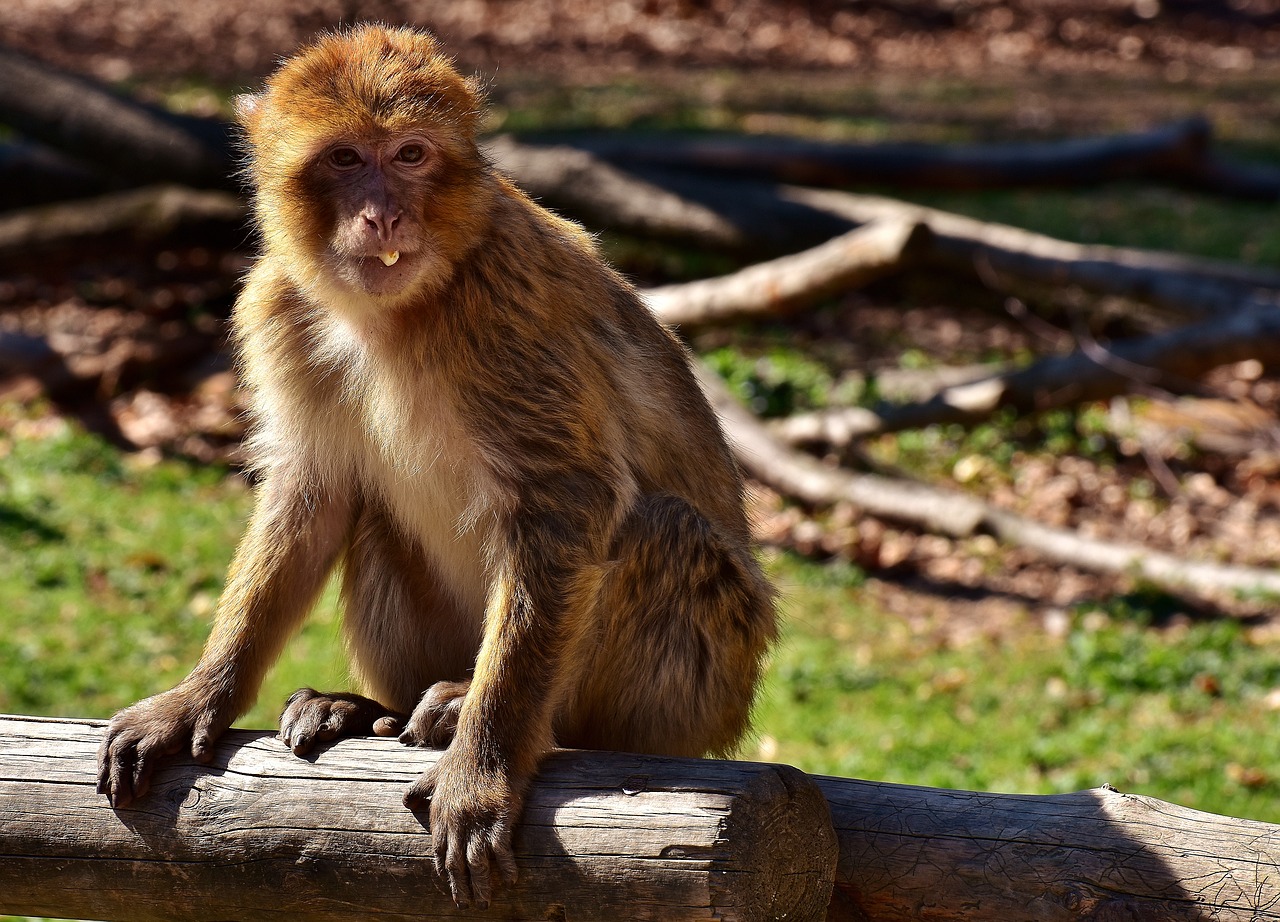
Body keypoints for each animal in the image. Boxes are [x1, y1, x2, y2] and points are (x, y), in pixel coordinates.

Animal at [97, 25, 768, 911]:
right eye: (346, 158)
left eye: (411, 154)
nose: (384, 212)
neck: (399, 309)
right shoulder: (276, 302)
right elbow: (311, 495)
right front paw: (198, 697)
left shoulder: (504, 304)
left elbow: (567, 502)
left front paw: (484, 770)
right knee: (376, 516)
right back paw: (367, 708)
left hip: (702, 695)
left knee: (661, 528)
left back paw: (501, 719)